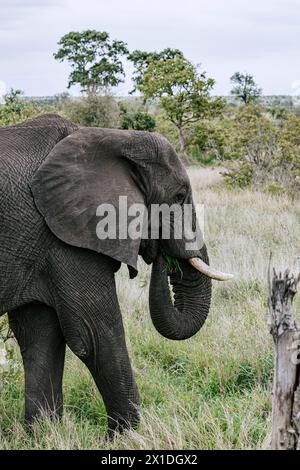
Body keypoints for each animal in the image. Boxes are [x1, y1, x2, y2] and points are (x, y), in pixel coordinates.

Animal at [0, 114, 232, 436]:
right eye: (179, 196)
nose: (161, 254)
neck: (115, 137)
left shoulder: (44, 241)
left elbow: (39, 335)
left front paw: (43, 435)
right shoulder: (66, 237)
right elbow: (93, 332)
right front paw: (127, 437)